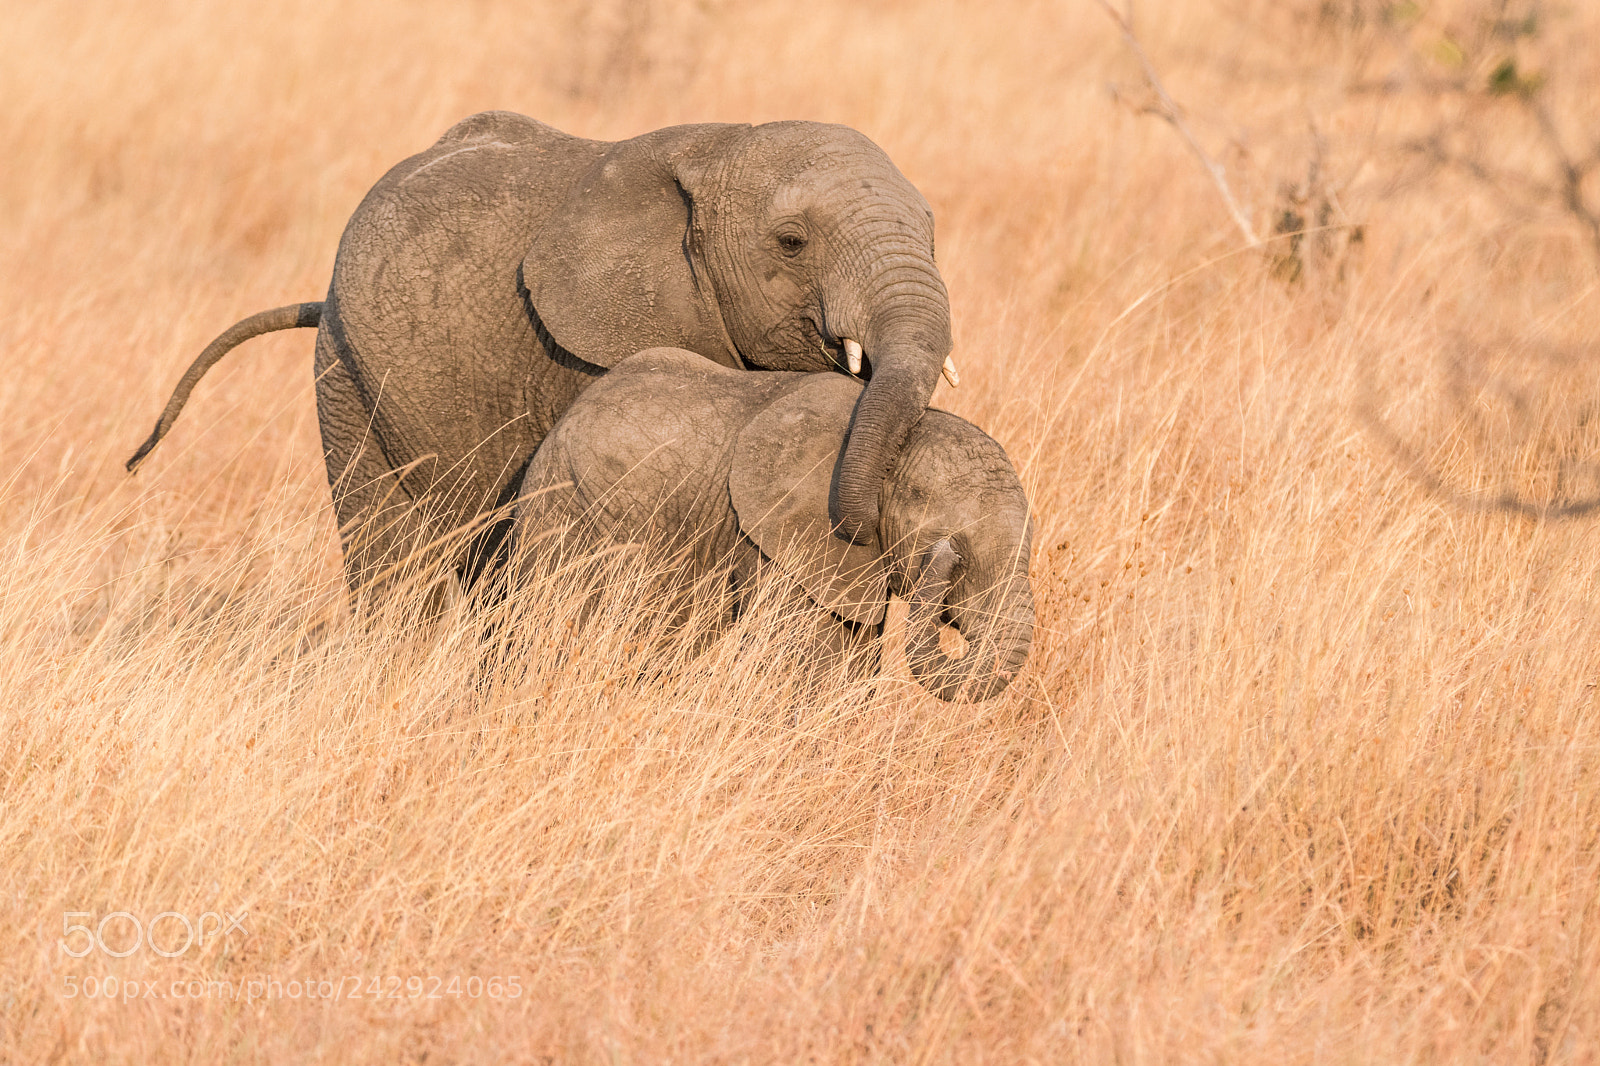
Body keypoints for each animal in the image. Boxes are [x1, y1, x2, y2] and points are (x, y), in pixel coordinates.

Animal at [127, 111, 961, 597]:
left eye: (931, 231)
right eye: (791, 243)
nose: (870, 533)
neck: (721, 146)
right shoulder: (587, 352)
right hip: (347, 377)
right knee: (396, 563)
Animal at [512, 347, 1034, 702]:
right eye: (959, 553)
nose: (943, 558)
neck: (892, 443)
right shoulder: (781, 540)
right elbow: (808, 660)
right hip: (565, 514)